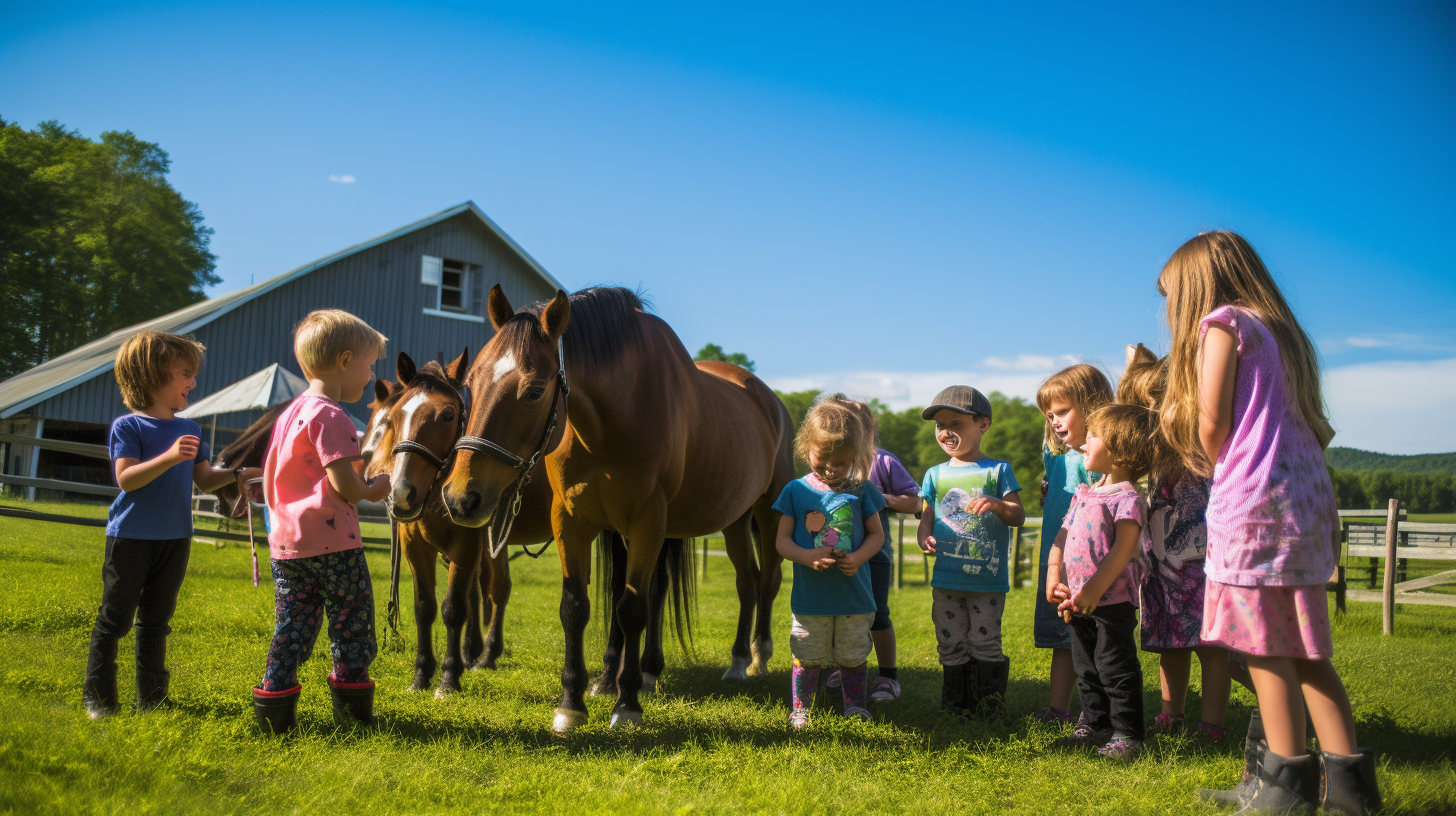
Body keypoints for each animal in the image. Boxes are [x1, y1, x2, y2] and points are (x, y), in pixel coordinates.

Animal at [439, 287, 792, 734]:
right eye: (471, 383)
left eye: (534, 390)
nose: (460, 497)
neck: (612, 418)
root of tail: (768, 400)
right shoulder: (571, 521)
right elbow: (576, 607)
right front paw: (572, 703)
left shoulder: (646, 522)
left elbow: (631, 608)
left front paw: (626, 704)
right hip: (734, 520)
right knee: (747, 582)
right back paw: (734, 661)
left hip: (768, 515)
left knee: (767, 582)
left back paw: (756, 655)